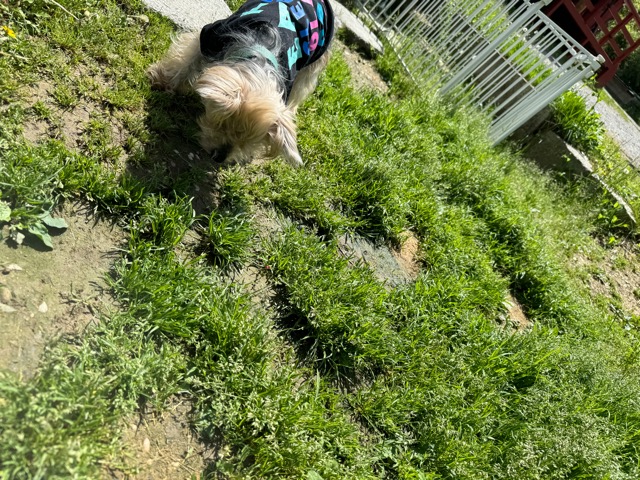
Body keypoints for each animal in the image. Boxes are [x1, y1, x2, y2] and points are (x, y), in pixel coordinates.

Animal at [147, 0, 335, 167]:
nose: (218, 157)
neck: (260, 52)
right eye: (221, 124)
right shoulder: (210, 36)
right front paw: (162, 81)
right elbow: (187, 60)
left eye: (248, 141)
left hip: (314, 61)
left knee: (301, 89)